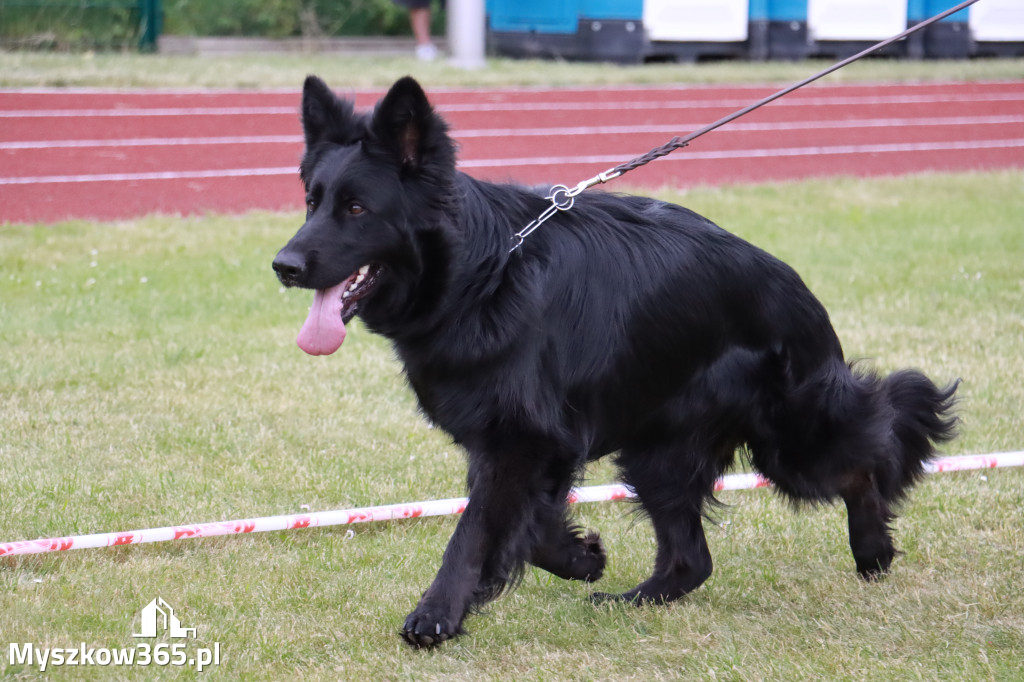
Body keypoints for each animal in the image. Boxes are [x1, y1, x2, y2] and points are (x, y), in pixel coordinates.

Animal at [274, 76, 958, 647]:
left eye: (357, 209)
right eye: (311, 200)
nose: (284, 266)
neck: (480, 276)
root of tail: (797, 290)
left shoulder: (524, 440)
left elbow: (473, 531)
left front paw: (437, 614)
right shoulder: (525, 447)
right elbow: (528, 523)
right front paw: (582, 557)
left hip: (788, 441)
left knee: (866, 460)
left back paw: (872, 551)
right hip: (659, 453)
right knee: (692, 558)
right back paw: (638, 598)